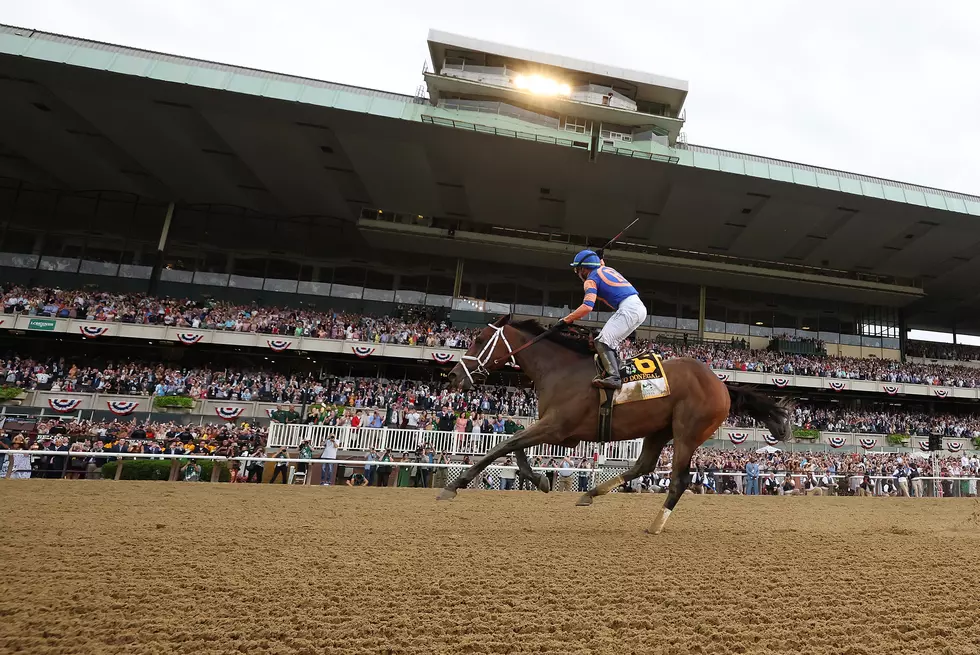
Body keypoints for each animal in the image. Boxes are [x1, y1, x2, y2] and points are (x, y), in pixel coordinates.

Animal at [440, 316, 792, 536]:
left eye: (479, 339)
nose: (454, 375)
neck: (560, 369)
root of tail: (722, 384)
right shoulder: (554, 429)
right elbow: (515, 445)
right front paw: (538, 478)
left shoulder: (558, 427)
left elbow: (506, 444)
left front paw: (454, 485)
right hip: (659, 429)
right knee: (643, 465)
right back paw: (591, 493)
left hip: (687, 432)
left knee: (679, 480)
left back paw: (656, 524)